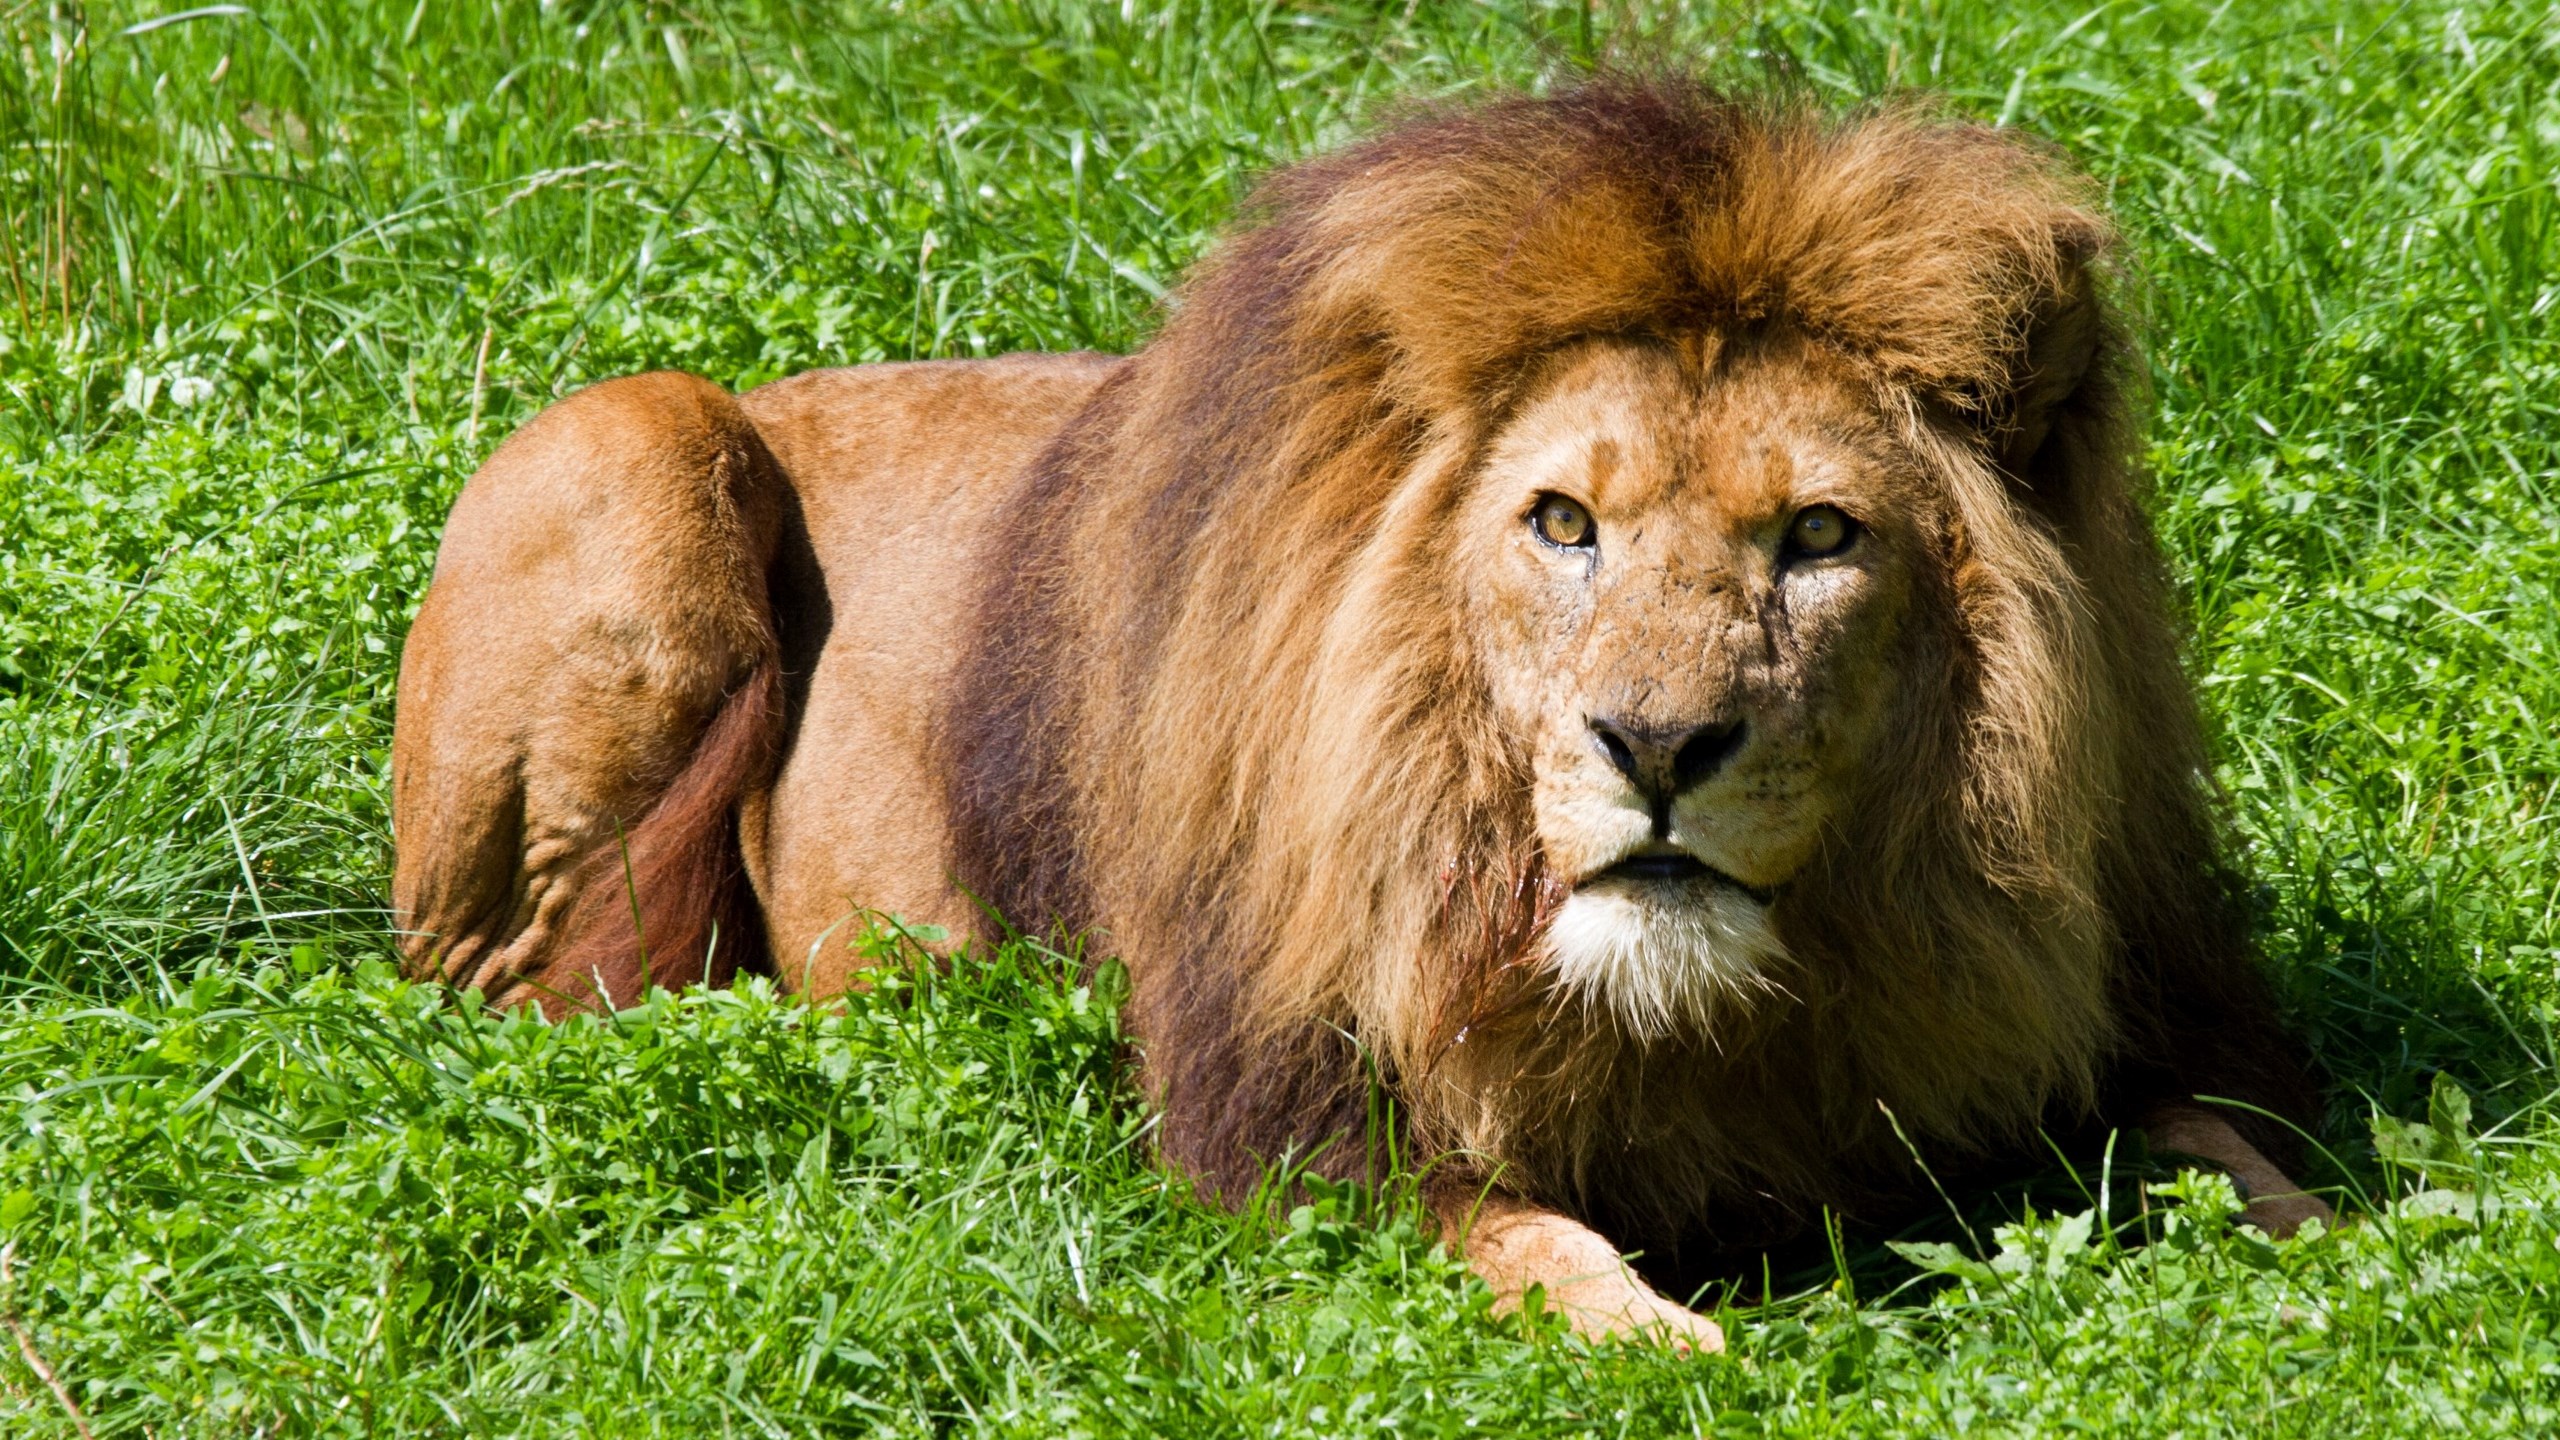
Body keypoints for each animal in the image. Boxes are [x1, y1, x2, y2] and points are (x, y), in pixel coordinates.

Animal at [391, 79, 2331, 1349]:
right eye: (1563, 525)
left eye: (1820, 539)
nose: (1657, 751)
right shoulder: (1292, 1110)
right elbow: (1527, 1242)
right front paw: (1663, 1342)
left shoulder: (2101, 1001)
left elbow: (2233, 1147)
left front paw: (2363, 1269)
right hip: (642, 442)